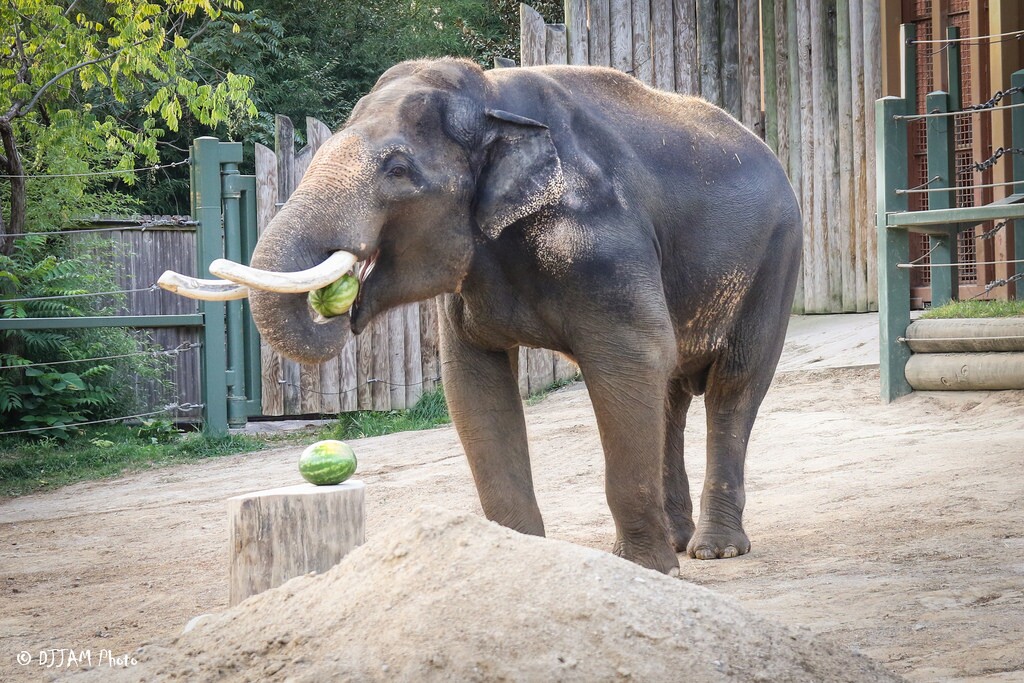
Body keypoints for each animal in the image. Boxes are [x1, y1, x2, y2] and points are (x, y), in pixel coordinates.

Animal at [187, 58, 802, 575]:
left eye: (398, 169)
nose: (340, 301)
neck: (491, 96)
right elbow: (474, 382)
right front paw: (516, 560)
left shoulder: (606, 241)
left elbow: (633, 359)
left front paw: (645, 572)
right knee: (673, 393)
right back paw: (681, 541)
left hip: (777, 258)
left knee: (733, 387)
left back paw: (714, 550)